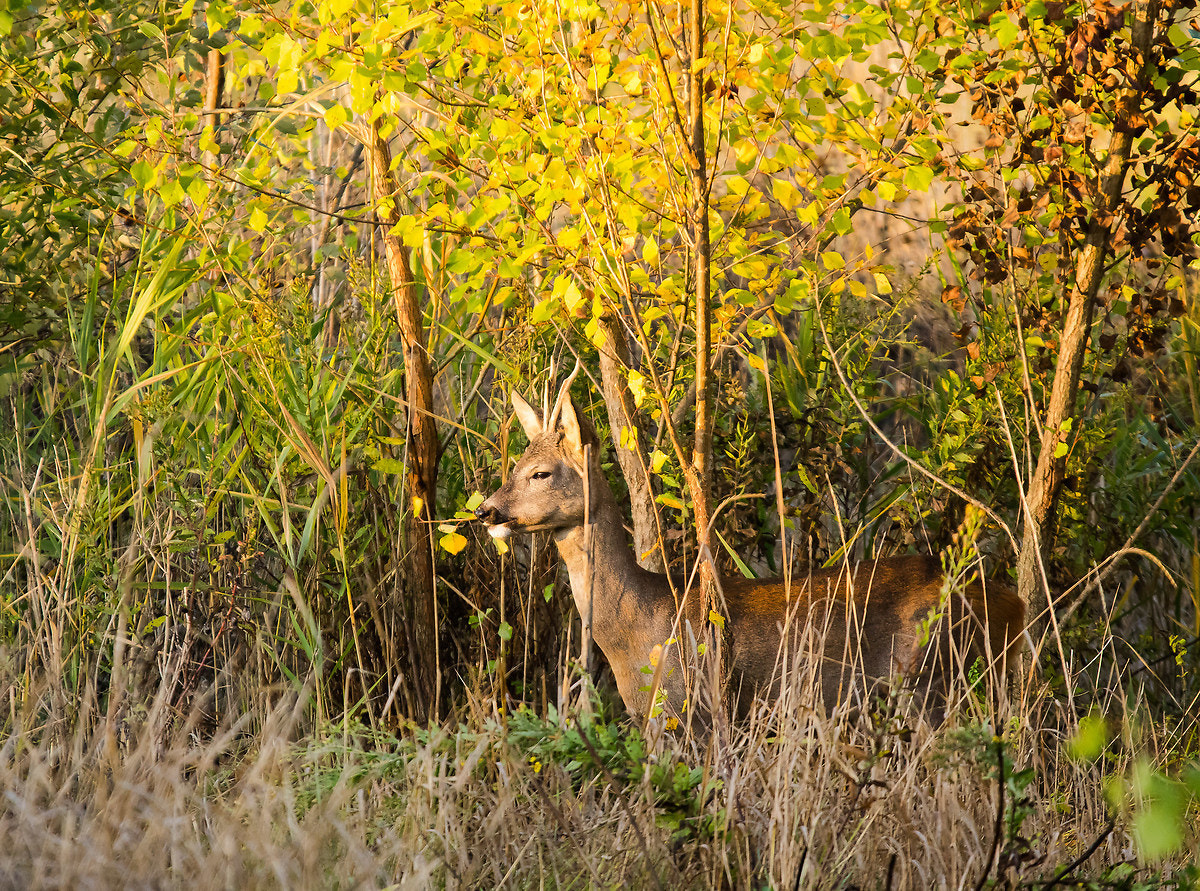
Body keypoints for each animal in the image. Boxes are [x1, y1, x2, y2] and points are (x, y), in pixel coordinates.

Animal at [475, 377, 1022, 725]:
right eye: (515, 465)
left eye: (540, 473)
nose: (486, 510)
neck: (634, 628)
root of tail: (1012, 604)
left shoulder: (687, 707)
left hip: (931, 678)